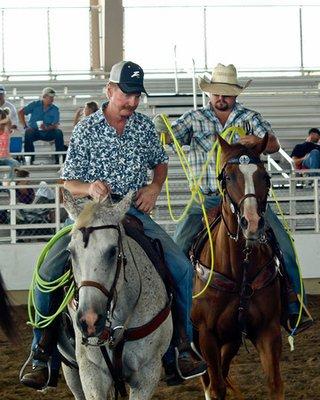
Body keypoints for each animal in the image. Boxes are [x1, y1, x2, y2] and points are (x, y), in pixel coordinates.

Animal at [62, 191, 172, 400]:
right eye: (70, 252)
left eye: (113, 251)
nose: (89, 321)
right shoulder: (91, 371)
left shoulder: (148, 373)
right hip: (70, 368)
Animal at [191, 135, 284, 400]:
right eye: (229, 177)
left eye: (265, 176)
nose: (251, 223)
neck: (239, 268)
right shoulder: (206, 335)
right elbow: (216, 388)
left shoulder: (268, 330)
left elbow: (275, 384)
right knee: (209, 380)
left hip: (231, 340)